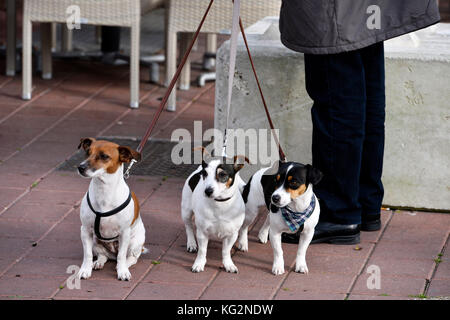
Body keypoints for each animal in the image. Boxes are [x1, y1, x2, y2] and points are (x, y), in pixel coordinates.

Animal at [76, 138, 145, 280]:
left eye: (104, 156)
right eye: (87, 152)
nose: (80, 167)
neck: (104, 191)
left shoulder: (124, 233)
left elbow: (122, 256)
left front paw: (122, 271)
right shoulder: (85, 230)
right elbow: (87, 255)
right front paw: (85, 270)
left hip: (134, 242)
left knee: (129, 258)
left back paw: (121, 266)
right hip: (96, 241)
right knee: (103, 256)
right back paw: (98, 263)